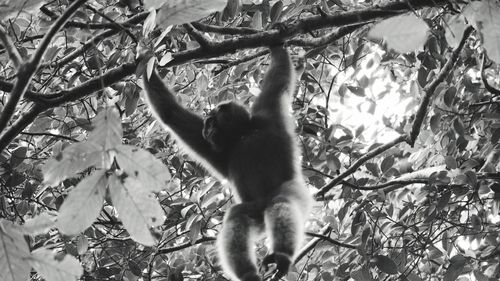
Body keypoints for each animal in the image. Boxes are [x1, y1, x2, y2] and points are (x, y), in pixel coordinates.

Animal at [142, 44, 312, 278]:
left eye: (212, 122)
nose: (206, 129)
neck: (241, 135)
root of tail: (262, 204)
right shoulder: (220, 150)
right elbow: (171, 114)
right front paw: (143, 61)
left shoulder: (267, 113)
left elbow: (279, 78)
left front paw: (276, 44)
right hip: (254, 210)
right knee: (237, 215)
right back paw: (248, 274)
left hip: (290, 191)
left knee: (281, 202)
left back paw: (282, 255)